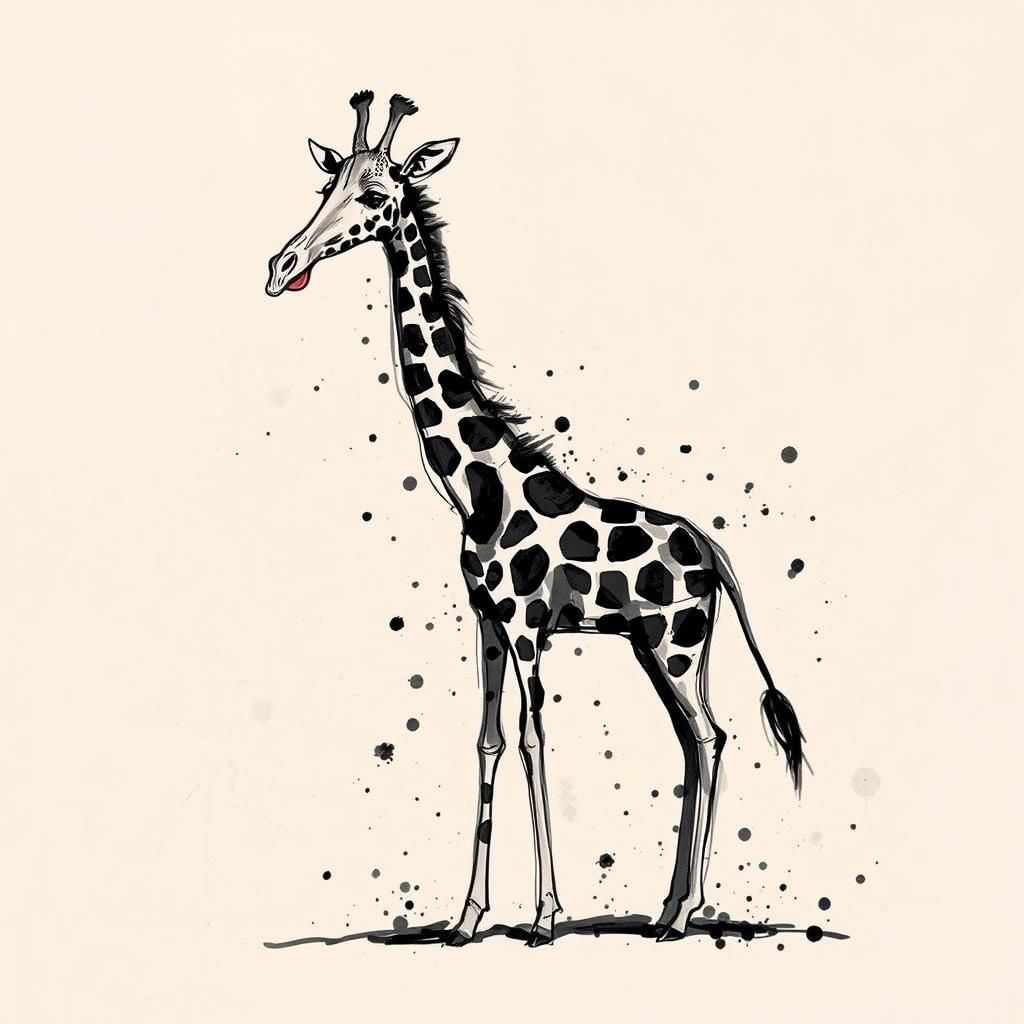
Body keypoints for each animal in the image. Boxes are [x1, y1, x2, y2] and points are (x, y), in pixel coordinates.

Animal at [266, 92, 807, 946]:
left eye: (375, 194)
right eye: (327, 186)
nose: (281, 266)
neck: (475, 484)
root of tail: (713, 553)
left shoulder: (526, 625)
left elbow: (531, 736)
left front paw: (547, 914)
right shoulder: (485, 619)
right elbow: (487, 739)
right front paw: (465, 917)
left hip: (676, 644)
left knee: (712, 737)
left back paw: (686, 911)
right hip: (660, 647)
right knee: (694, 741)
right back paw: (666, 908)